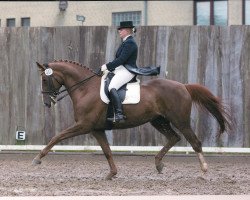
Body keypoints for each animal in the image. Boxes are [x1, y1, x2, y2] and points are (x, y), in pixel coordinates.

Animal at [34, 59, 231, 180]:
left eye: (44, 79)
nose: (46, 103)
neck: (85, 88)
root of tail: (183, 86)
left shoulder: (84, 125)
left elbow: (57, 137)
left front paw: (37, 159)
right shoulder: (97, 129)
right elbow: (107, 151)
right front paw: (112, 173)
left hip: (180, 120)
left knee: (194, 142)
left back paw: (203, 171)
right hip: (158, 120)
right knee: (174, 138)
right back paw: (158, 164)